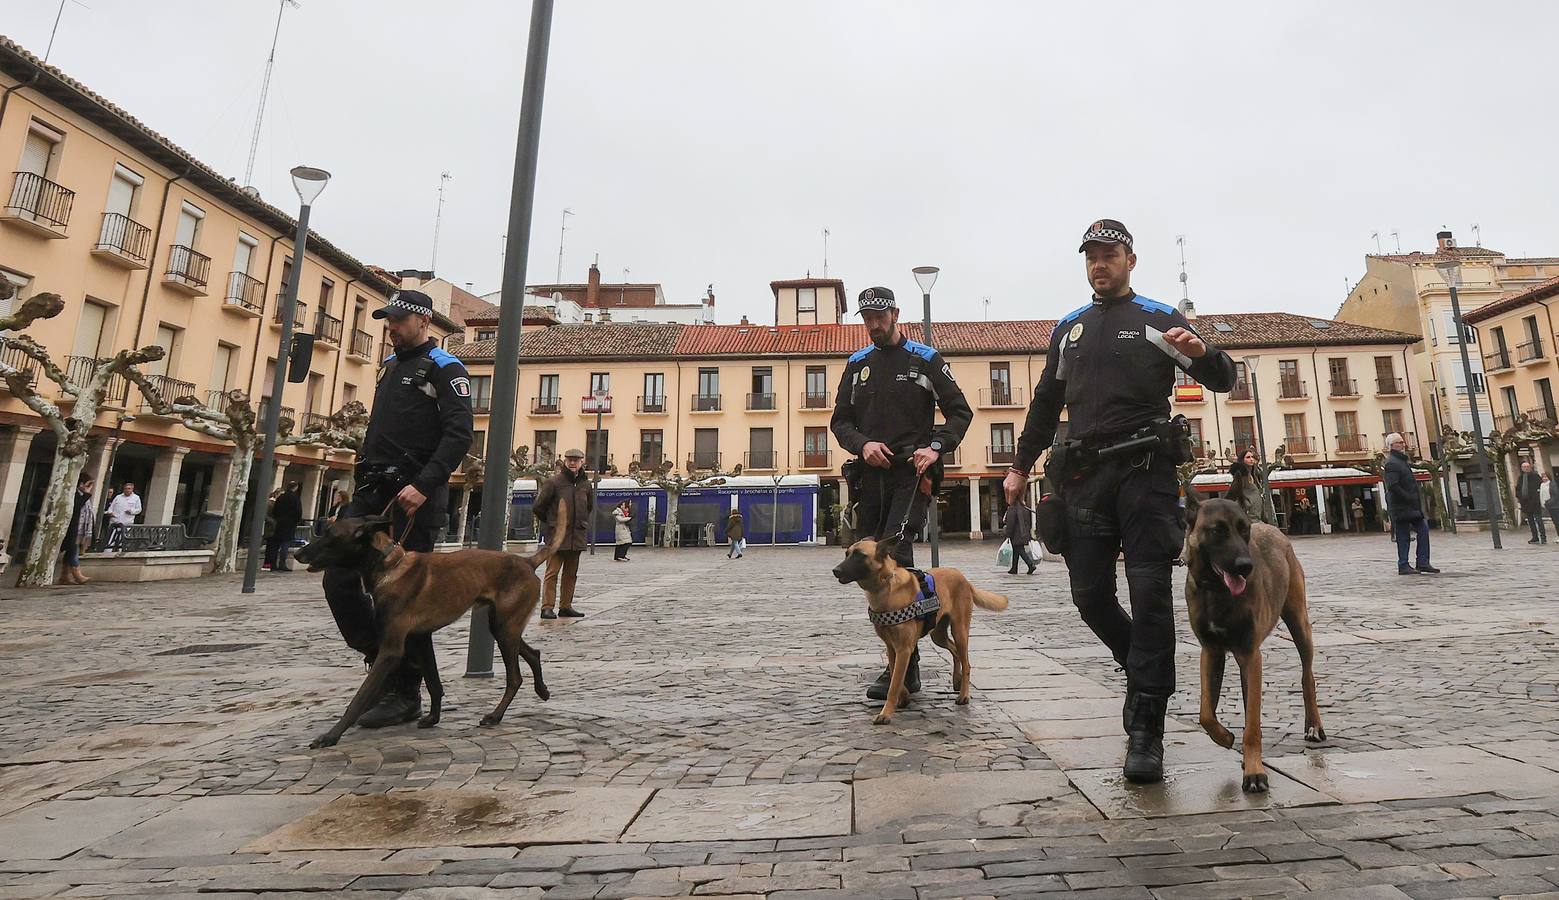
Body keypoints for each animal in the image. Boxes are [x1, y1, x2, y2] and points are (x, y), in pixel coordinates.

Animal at [293, 499, 567, 742]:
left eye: (329, 535)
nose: (298, 553)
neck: (389, 566)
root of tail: (526, 561)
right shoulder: (421, 639)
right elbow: (434, 683)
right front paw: (433, 718)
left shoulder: (391, 650)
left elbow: (359, 698)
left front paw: (330, 736)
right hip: (502, 626)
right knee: (533, 653)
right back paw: (542, 690)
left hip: (504, 629)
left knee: (515, 678)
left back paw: (495, 715)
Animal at [829, 533, 1010, 723]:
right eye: (847, 554)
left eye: (859, 555)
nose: (835, 571)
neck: (885, 587)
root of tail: (964, 579)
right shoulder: (892, 649)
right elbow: (895, 676)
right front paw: (904, 697)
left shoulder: (903, 649)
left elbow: (894, 683)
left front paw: (886, 713)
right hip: (938, 635)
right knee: (954, 651)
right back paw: (956, 680)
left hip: (959, 631)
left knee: (966, 662)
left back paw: (964, 694)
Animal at [1178, 483, 1328, 792]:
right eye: (1217, 530)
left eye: (1243, 529)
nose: (1245, 566)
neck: (1216, 590)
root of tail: (1273, 528)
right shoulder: (1211, 652)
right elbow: (1205, 713)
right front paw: (1225, 737)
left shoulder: (1250, 653)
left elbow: (1252, 725)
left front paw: (1255, 771)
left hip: (1298, 624)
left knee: (1307, 677)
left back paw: (1313, 725)